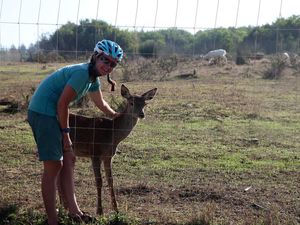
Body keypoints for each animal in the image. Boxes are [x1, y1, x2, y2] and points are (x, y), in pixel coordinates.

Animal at [62, 84, 157, 214]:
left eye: (144, 104)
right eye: (131, 102)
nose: (141, 114)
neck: (111, 135)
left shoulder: (108, 156)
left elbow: (110, 180)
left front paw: (116, 209)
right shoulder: (94, 153)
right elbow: (99, 181)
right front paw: (99, 210)